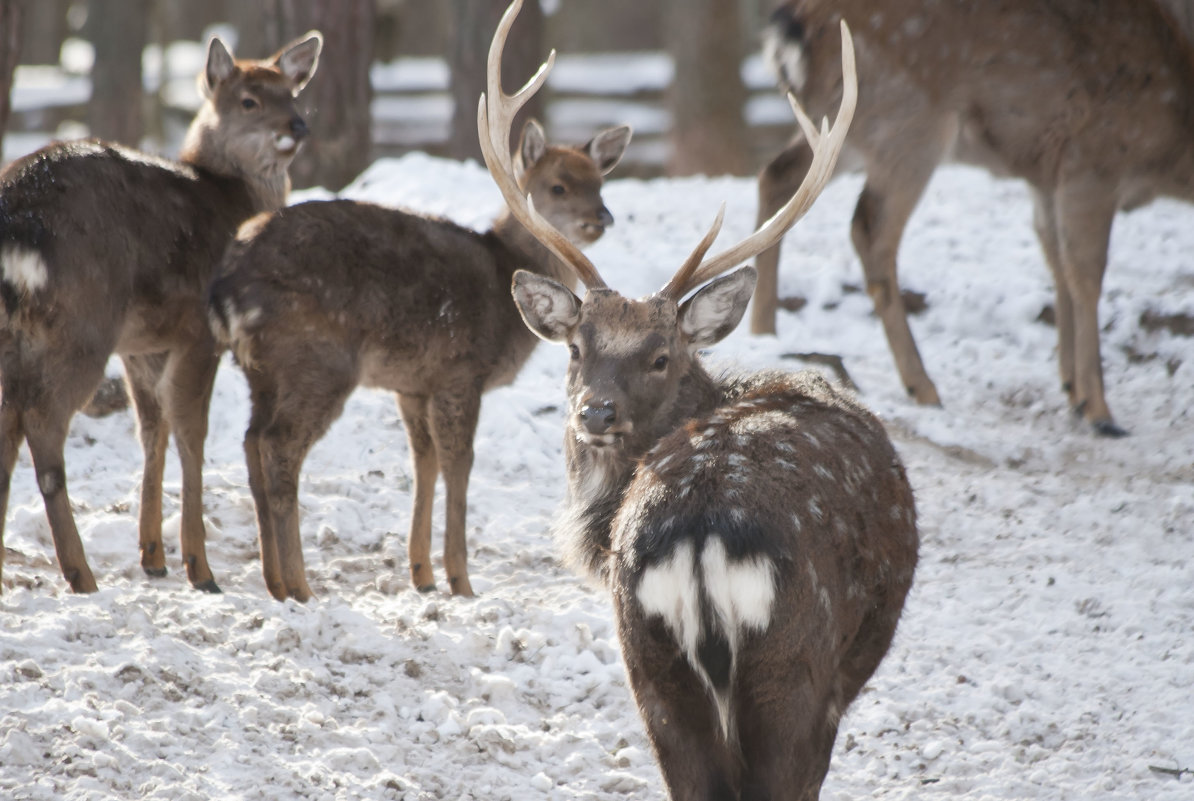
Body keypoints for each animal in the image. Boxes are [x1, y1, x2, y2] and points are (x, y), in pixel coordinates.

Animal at [0, 31, 322, 592]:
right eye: (249, 100)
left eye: (293, 94)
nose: (297, 127)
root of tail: (17, 217)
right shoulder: (198, 330)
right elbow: (192, 431)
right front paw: (199, 566)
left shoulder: (144, 343)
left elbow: (153, 429)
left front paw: (152, 554)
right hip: (84, 320)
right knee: (40, 419)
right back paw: (80, 572)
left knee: (7, 423)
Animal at [206, 59, 635, 601]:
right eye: (558, 186)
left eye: (600, 183)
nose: (603, 217)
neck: (503, 281)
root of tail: (228, 284)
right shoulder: (460, 372)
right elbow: (459, 465)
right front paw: (461, 580)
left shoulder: (413, 384)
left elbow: (423, 464)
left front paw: (422, 575)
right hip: (317, 361)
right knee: (278, 446)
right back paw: (300, 584)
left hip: (260, 369)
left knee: (250, 440)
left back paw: (274, 580)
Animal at [479, 3, 916, 797]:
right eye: (576, 347)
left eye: (660, 355)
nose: (594, 412)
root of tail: (701, 538)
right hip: (794, 666)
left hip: (647, 660)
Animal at [749, 0, 1194, 439]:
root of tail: (792, 23)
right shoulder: (1093, 160)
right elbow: (1086, 274)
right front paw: (1100, 410)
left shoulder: (1046, 179)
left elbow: (1058, 265)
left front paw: (1072, 388)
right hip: (907, 125)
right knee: (869, 227)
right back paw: (923, 385)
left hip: (843, 127)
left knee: (777, 174)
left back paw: (764, 332)